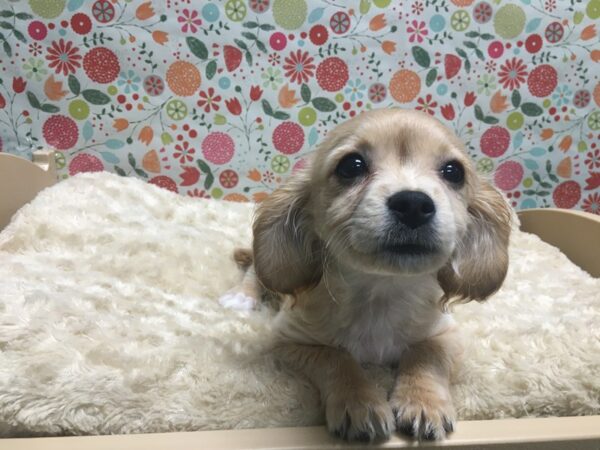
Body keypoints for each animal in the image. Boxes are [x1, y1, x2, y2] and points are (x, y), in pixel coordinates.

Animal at [225, 110, 510, 442]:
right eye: (351, 165)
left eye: (453, 172)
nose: (413, 204)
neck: (381, 290)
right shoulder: (288, 341)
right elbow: (336, 358)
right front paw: (359, 402)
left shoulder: (446, 334)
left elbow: (426, 355)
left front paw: (423, 402)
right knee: (255, 271)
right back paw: (240, 297)